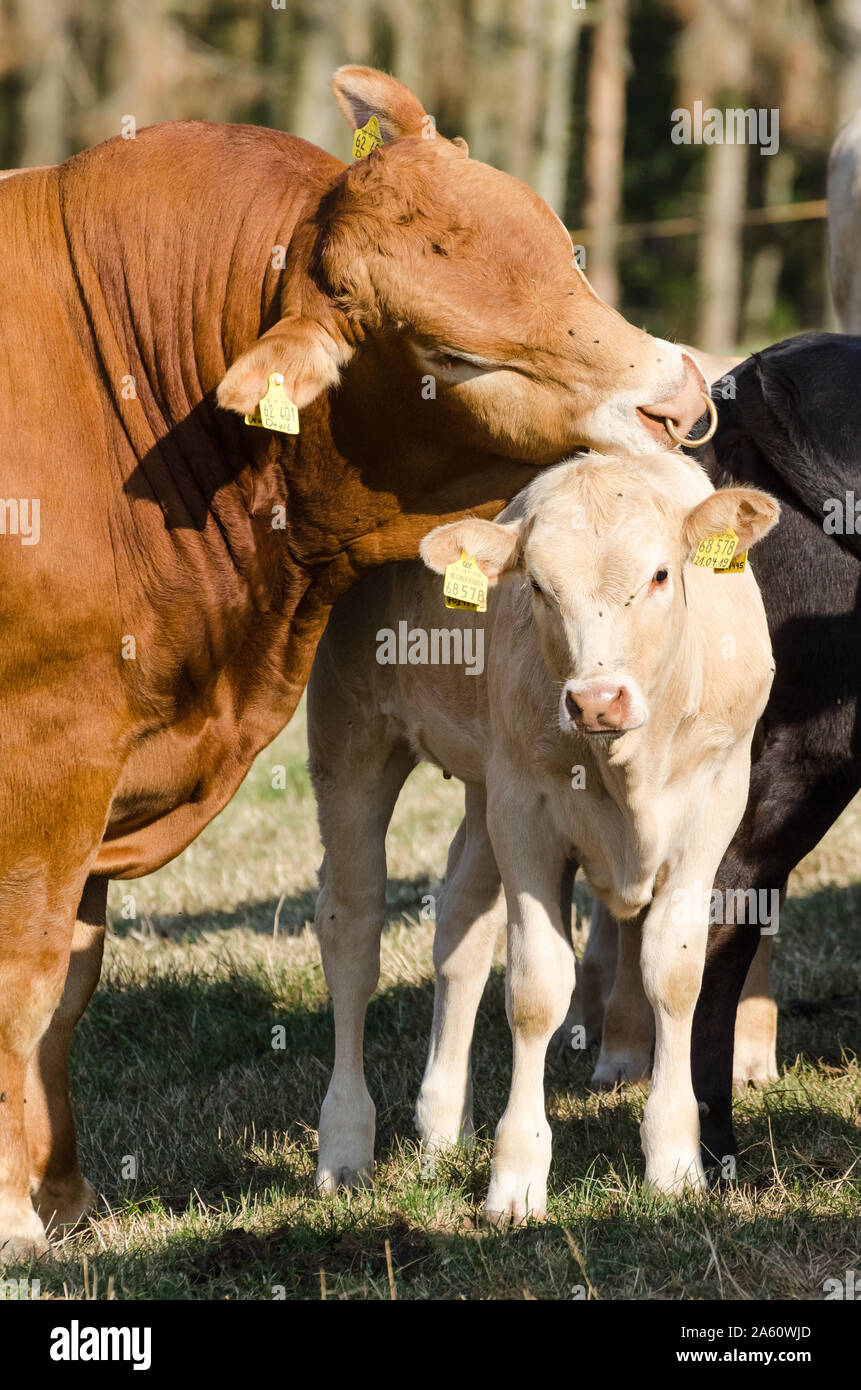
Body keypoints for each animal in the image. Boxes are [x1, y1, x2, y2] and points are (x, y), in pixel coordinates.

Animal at [0, 67, 706, 1262]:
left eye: (562, 248)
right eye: (453, 357)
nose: (680, 396)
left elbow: (71, 981)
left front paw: (63, 1191)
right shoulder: (47, 762)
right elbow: (26, 975)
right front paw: (15, 1212)